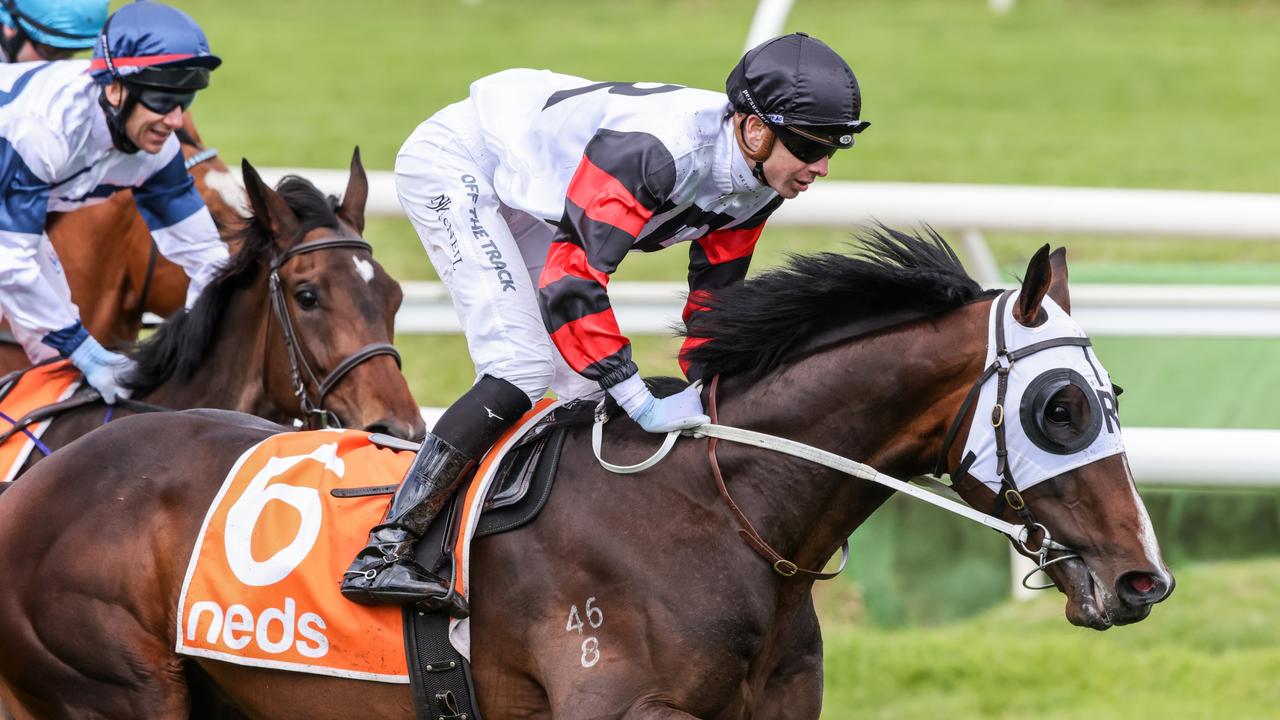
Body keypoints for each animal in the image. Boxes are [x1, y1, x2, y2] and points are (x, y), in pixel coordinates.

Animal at [0, 229, 1172, 712]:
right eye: (1059, 408)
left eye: (1109, 397)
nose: (1141, 579)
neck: (716, 514)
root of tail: (50, 474)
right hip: (110, 690)